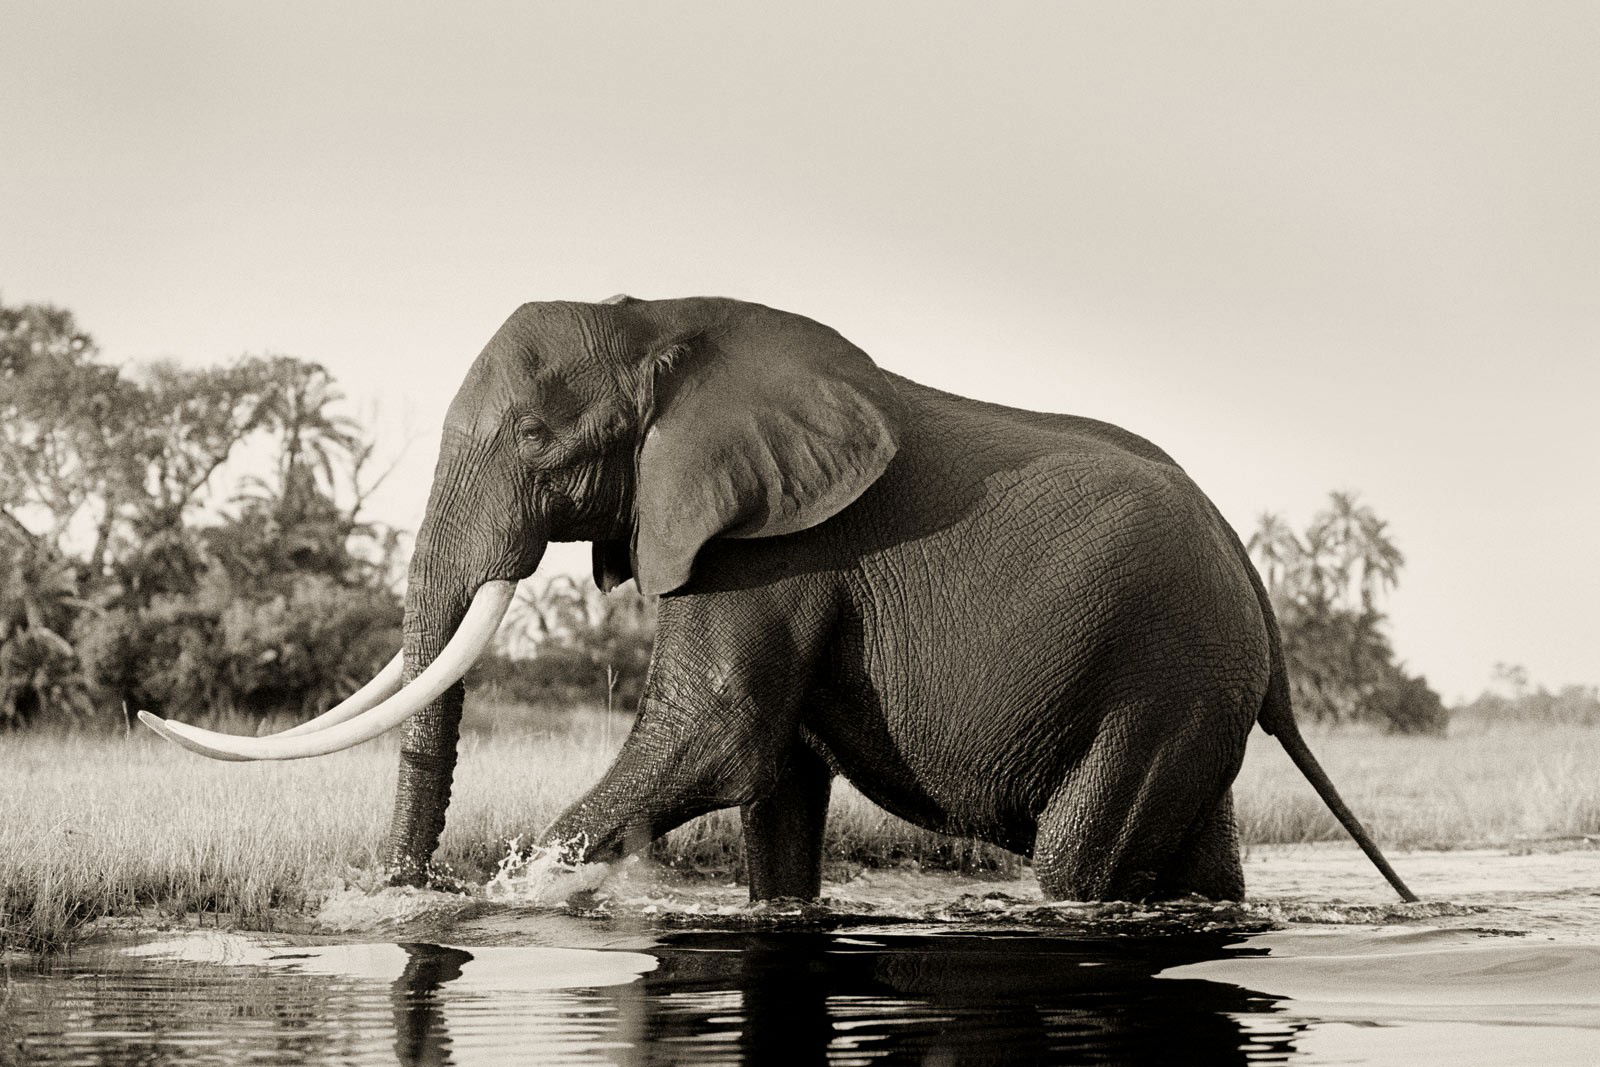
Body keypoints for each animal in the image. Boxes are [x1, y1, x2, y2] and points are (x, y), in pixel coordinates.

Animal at [141, 295, 1415, 904]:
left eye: (540, 439)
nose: (400, 893)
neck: (656, 319)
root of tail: (1261, 602)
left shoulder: (772, 546)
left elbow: (713, 732)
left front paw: (523, 893)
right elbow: (776, 785)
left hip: (1156, 677)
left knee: (1074, 859)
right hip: (1191, 689)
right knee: (1203, 862)